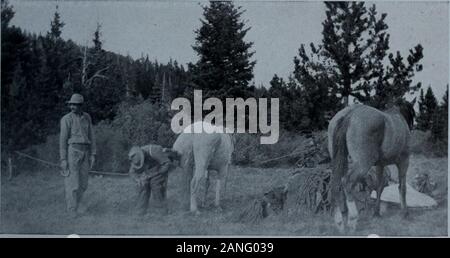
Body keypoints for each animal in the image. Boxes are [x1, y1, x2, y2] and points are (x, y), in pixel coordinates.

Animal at [326, 101, 414, 234]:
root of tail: (350, 113)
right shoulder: (404, 162)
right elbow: (402, 187)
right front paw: (405, 213)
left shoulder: (380, 165)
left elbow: (379, 188)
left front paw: (376, 213)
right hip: (363, 164)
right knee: (347, 182)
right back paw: (352, 219)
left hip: (341, 161)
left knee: (337, 184)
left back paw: (342, 219)